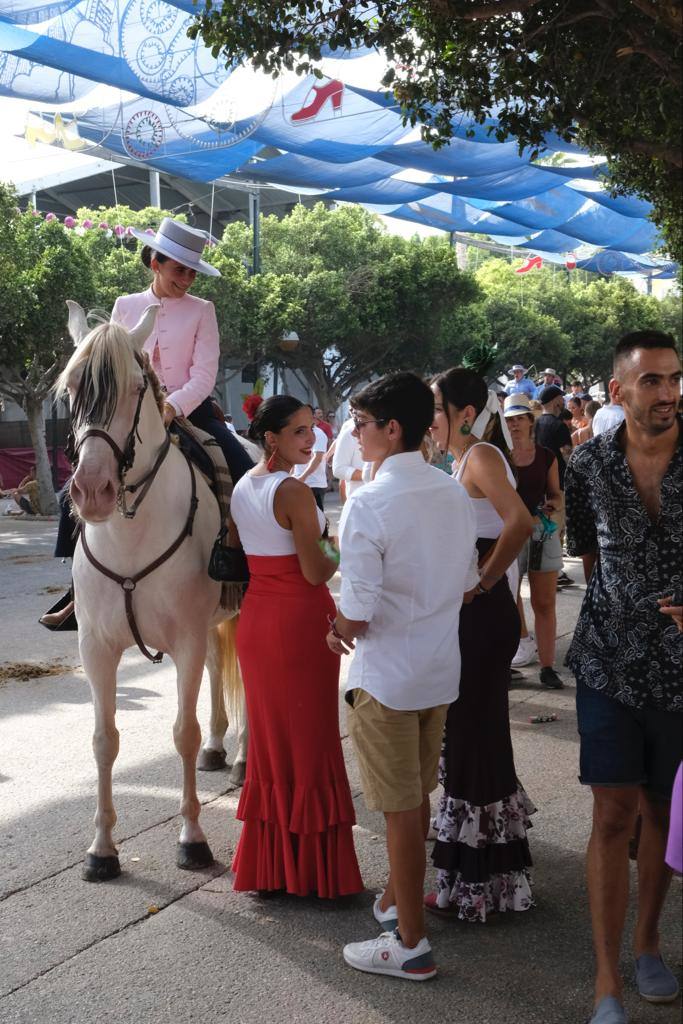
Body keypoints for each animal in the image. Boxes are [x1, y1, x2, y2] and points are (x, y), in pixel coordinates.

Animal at [58, 301, 245, 880]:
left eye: (138, 386)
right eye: (71, 388)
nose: (92, 490)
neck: (131, 532)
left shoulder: (184, 639)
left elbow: (181, 733)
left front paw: (192, 839)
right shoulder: (95, 648)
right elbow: (104, 740)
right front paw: (101, 850)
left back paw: (243, 760)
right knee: (219, 667)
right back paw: (218, 747)